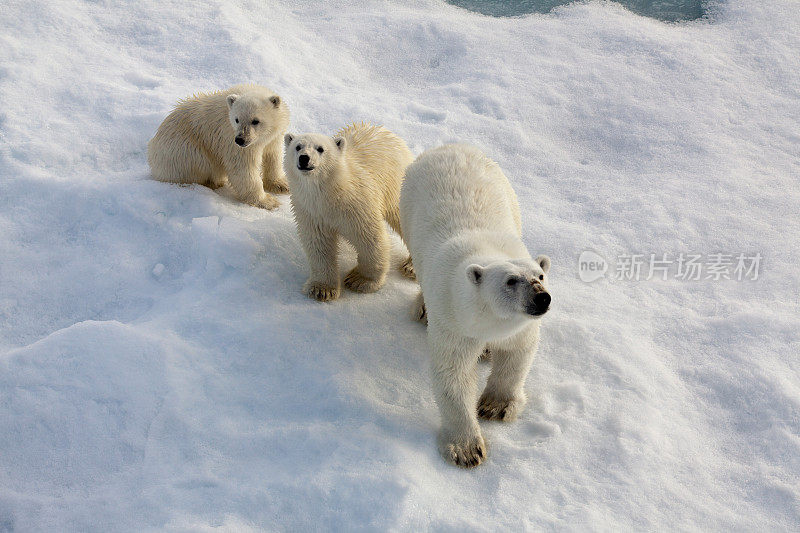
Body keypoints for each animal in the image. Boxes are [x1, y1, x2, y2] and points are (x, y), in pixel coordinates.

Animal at [148, 83, 290, 208]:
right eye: (237, 119)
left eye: (255, 121)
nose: (240, 139)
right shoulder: (230, 138)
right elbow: (243, 167)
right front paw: (268, 201)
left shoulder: (274, 137)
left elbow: (273, 156)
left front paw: (282, 185)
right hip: (184, 152)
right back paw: (213, 182)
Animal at [284, 122, 416, 302]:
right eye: (298, 146)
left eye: (320, 149)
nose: (304, 158)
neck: (331, 194)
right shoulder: (312, 211)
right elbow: (319, 244)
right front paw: (322, 289)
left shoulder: (356, 205)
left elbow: (369, 237)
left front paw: (360, 280)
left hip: (395, 182)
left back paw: (411, 266)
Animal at [400, 144, 552, 466]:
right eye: (510, 280)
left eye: (540, 275)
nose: (541, 297)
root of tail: (448, 147)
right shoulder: (455, 321)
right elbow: (453, 374)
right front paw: (466, 449)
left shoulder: (519, 327)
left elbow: (517, 355)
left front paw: (496, 406)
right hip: (407, 203)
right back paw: (422, 308)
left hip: (509, 194)